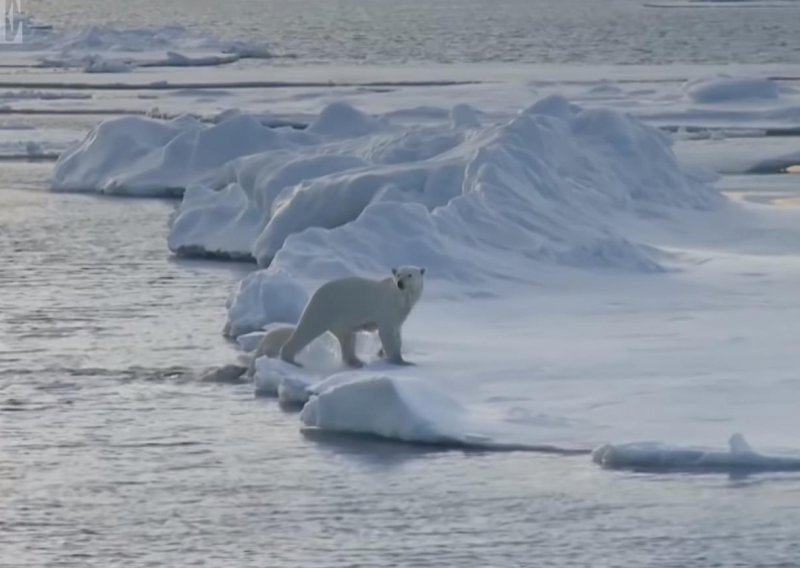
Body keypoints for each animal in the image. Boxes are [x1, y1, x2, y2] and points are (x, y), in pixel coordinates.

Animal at [276, 266, 422, 368]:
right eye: (398, 274)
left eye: (410, 275)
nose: (400, 283)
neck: (399, 298)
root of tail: (315, 294)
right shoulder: (386, 309)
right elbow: (388, 334)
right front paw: (400, 361)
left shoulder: (398, 316)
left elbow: (397, 334)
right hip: (324, 309)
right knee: (307, 329)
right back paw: (291, 360)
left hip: (340, 320)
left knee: (347, 338)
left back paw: (356, 362)